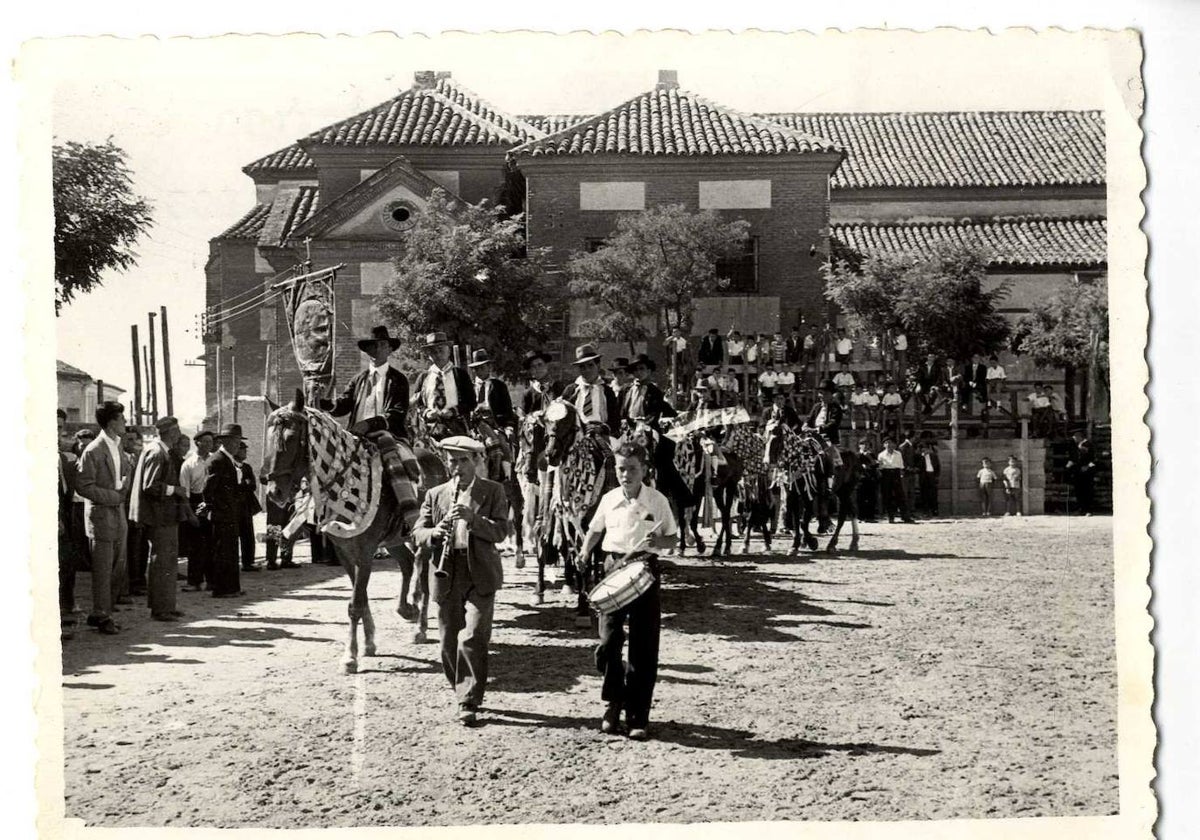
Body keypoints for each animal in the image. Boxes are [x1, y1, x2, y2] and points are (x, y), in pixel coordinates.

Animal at [262, 391, 446, 672]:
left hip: (419, 537)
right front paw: (368, 643)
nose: (274, 492)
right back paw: (406, 609)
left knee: (422, 574)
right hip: (392, 540)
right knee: (406, 564)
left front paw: (350, 656)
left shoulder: (365, 552)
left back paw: (419, 627)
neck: (344, 479)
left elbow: (356, 603)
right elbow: (361, 598)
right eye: (269, 437)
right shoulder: (344, 552)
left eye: (291, 438)